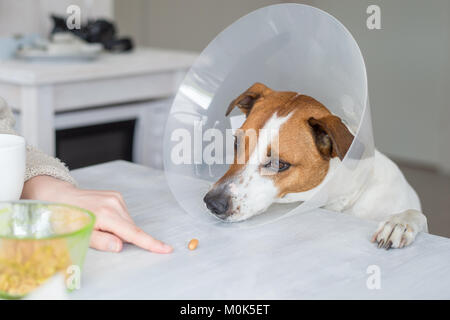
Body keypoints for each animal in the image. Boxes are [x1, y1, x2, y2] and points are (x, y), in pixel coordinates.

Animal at [204, 81, 428, 249]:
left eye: (278, 164)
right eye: (236, 143)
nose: (212, 203)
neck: (341, 199)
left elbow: (416, 215)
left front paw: (399, 222)